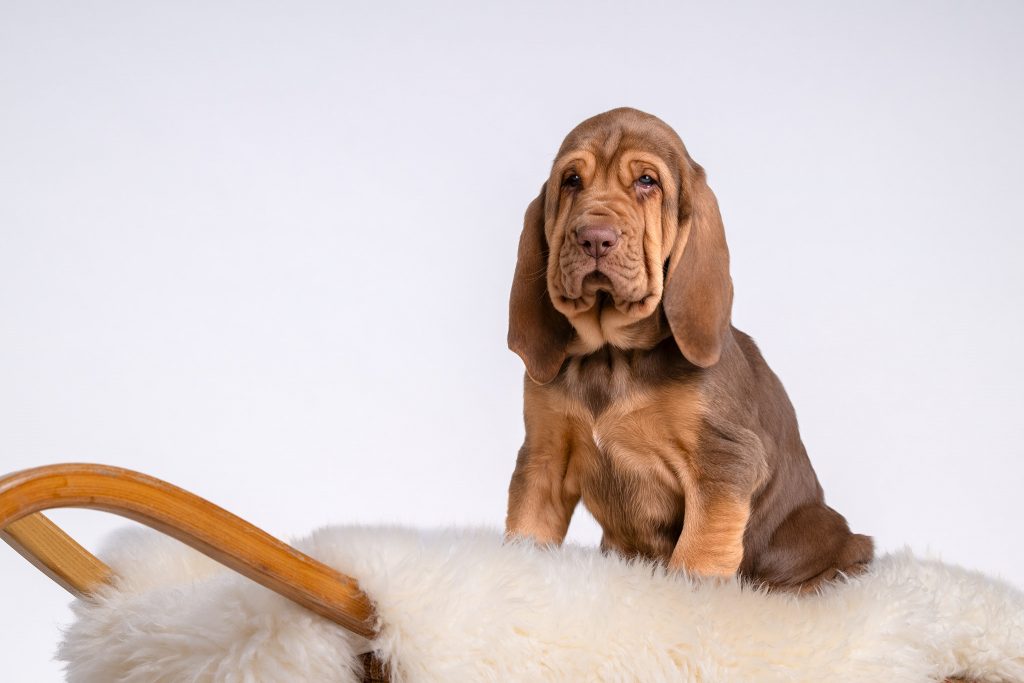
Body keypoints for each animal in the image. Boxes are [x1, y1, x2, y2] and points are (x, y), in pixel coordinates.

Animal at [505, 108, 873, 589]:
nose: (594, 237)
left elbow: (699, 552)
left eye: (647, 181)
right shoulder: (542, 457)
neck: (611, 355)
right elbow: (526, 530)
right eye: (571, 181)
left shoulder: (725, 461)